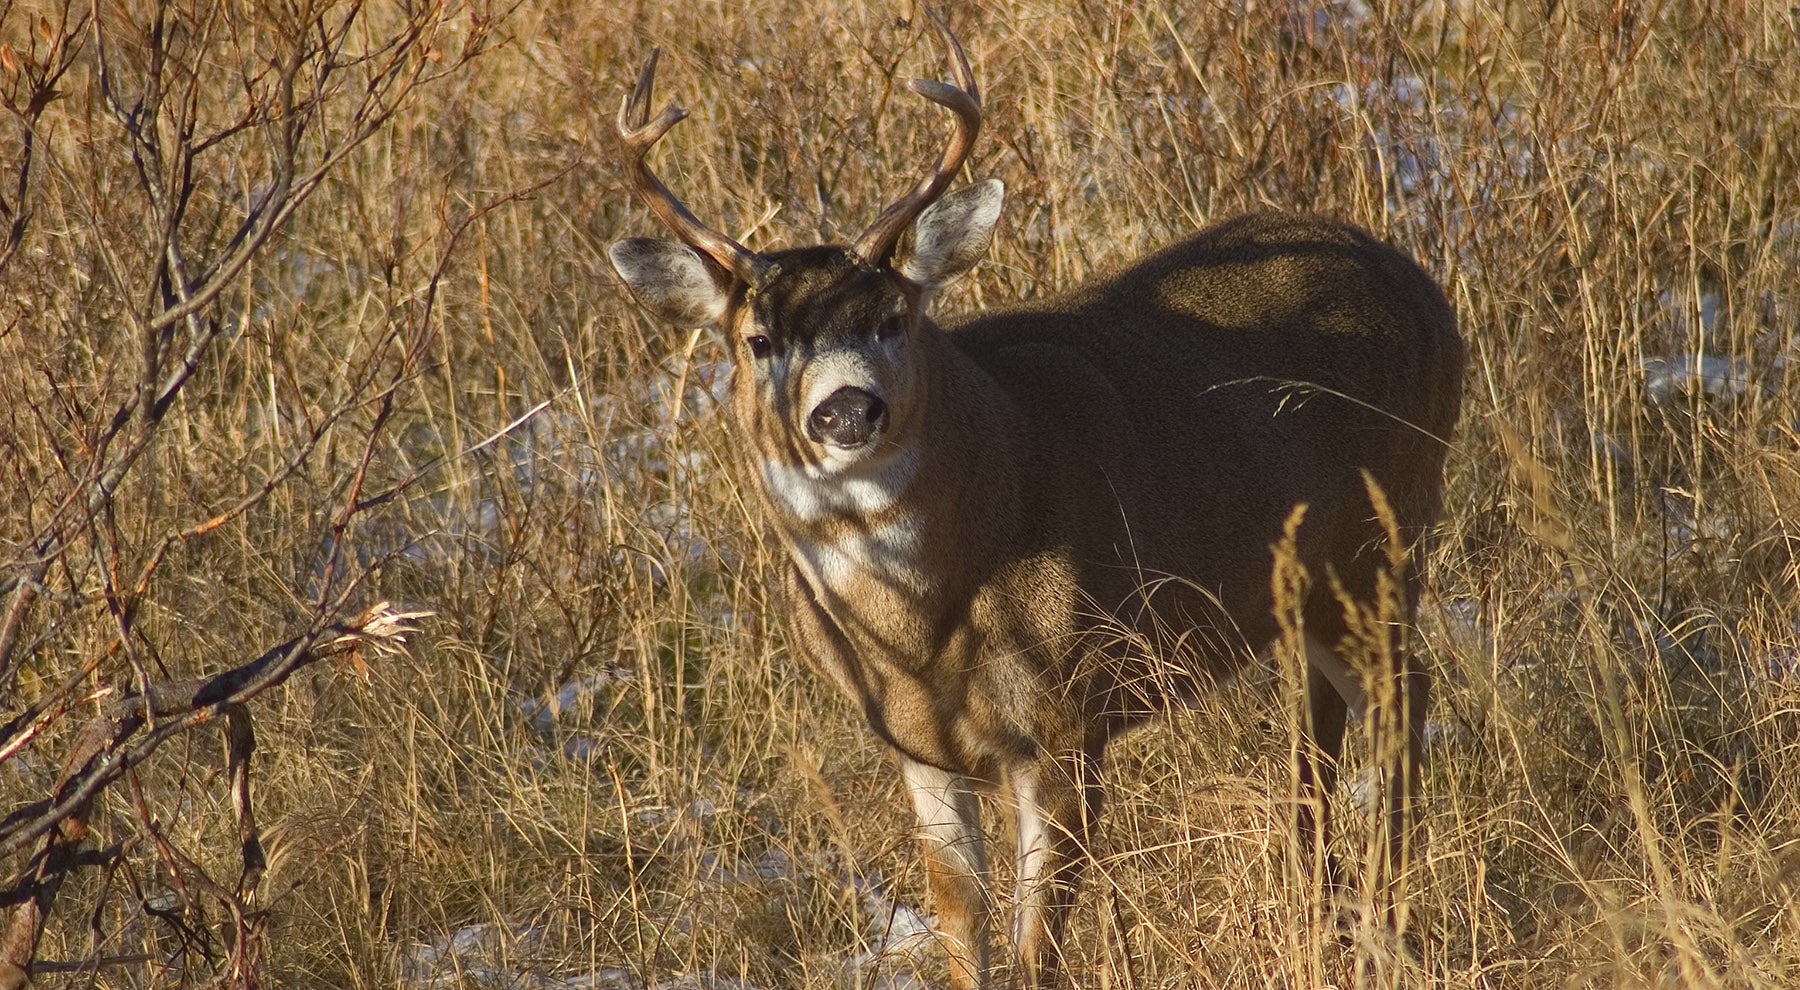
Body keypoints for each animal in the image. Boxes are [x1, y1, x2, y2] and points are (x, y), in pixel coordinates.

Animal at [604, 15, 1461, 990]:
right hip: (1307, 587)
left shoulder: (1069, 715)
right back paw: (1328, 912)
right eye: (756, 339)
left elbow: (1036, 947)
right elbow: (960, 928)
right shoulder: (918, 752)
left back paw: (1386, 924)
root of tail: (1424, 286)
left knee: (1403, 698)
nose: (847, 410)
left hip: (1383, 539)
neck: (922, 631)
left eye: (894, 317)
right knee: (1324, 719)